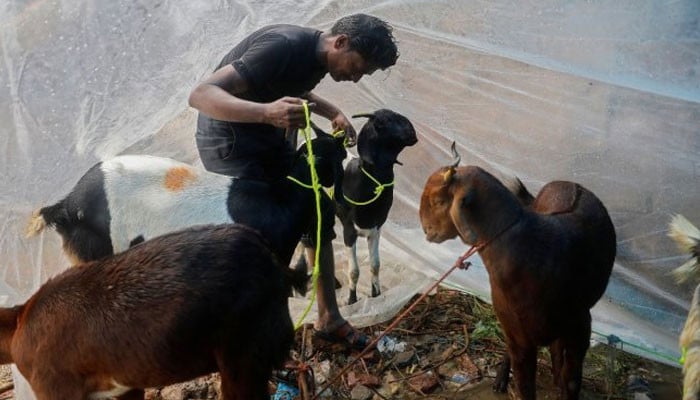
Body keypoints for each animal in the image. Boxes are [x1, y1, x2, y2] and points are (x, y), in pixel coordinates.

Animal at [418, 144, 616, 400]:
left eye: (438, 201)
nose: (426, 231)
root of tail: (569, 183)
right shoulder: (517, 334)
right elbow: (525, 386)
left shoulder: (579, 327)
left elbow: (571, 382)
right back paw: (502, 379)